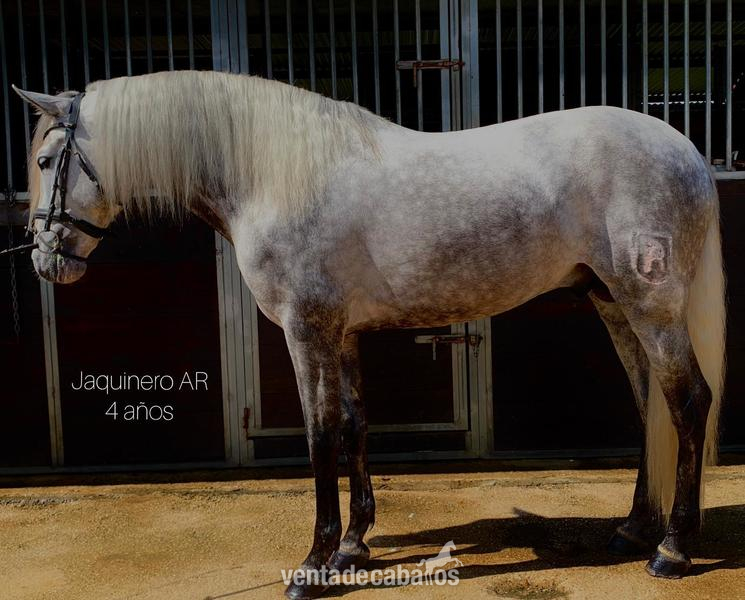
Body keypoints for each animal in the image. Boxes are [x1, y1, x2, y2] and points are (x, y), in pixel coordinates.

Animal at [12, 70, 725, 599]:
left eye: (48, 159)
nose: (45, 260)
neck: (274, 173)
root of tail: (684, 148)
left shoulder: (307, 331)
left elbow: (320, 436)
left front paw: (314, 564)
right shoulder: (344, 334)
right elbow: (356, 425)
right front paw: (353, 546)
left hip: (652, 307)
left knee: (688, 403)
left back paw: (672, 550)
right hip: (614, 305)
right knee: (651, 406)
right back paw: (634, 530)